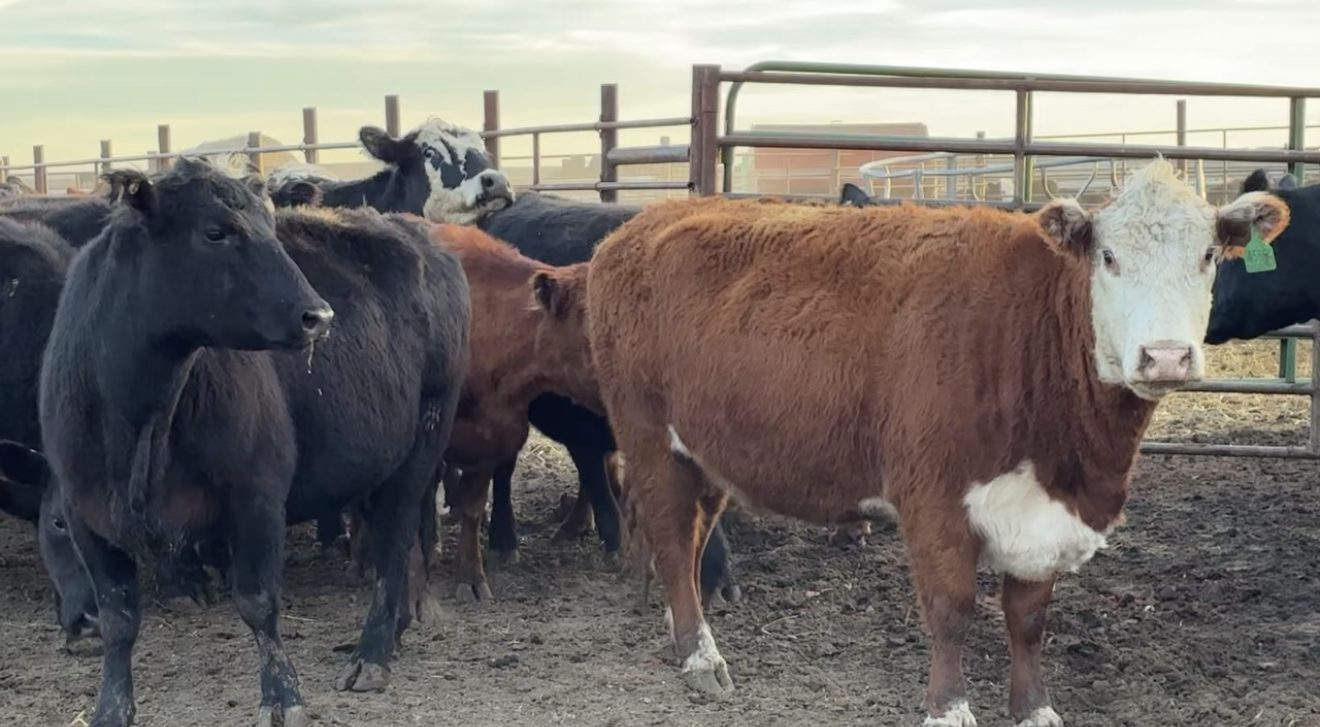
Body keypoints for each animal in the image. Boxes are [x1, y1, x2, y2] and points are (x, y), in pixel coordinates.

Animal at [30, 155, 469, 726]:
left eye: (268, 226)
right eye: (215, 232)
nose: (318, 315)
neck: (140, 422)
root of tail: (423, 238)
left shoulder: (257, 496)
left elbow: (259, 603)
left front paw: (283, 697)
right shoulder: (88, 516)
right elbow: (119, 617)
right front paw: (111, 708)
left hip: (422, 447)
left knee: (393, 548)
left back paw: (371, 656)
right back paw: (389, 636)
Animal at [564, 158, 1288, 725]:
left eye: (1208, 256)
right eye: (1109, 258)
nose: (1165, 357)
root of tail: (639, 225)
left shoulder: (1042, 517)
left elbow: (1028, 618)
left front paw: (1035, 708)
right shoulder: (934, 496)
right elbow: (952, 608)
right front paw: (948, 708)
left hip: (708, 449)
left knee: (688, 539)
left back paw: (680, 628)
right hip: (647, 434)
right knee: (667, 531)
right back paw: (699, 655)